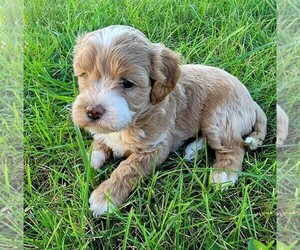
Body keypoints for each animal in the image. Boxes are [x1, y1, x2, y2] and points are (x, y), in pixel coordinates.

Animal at [72, 24, 268, 217]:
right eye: (84, 75)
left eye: (127, 83)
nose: (92, 112)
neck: (133, 121)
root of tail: (251, 101)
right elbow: (101, 141)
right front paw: (92, 156)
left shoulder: (156, 147)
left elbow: (129, 167)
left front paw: (106, 196)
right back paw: (194, 149)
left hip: (219, 119)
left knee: (234, 147)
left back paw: (223, 174)